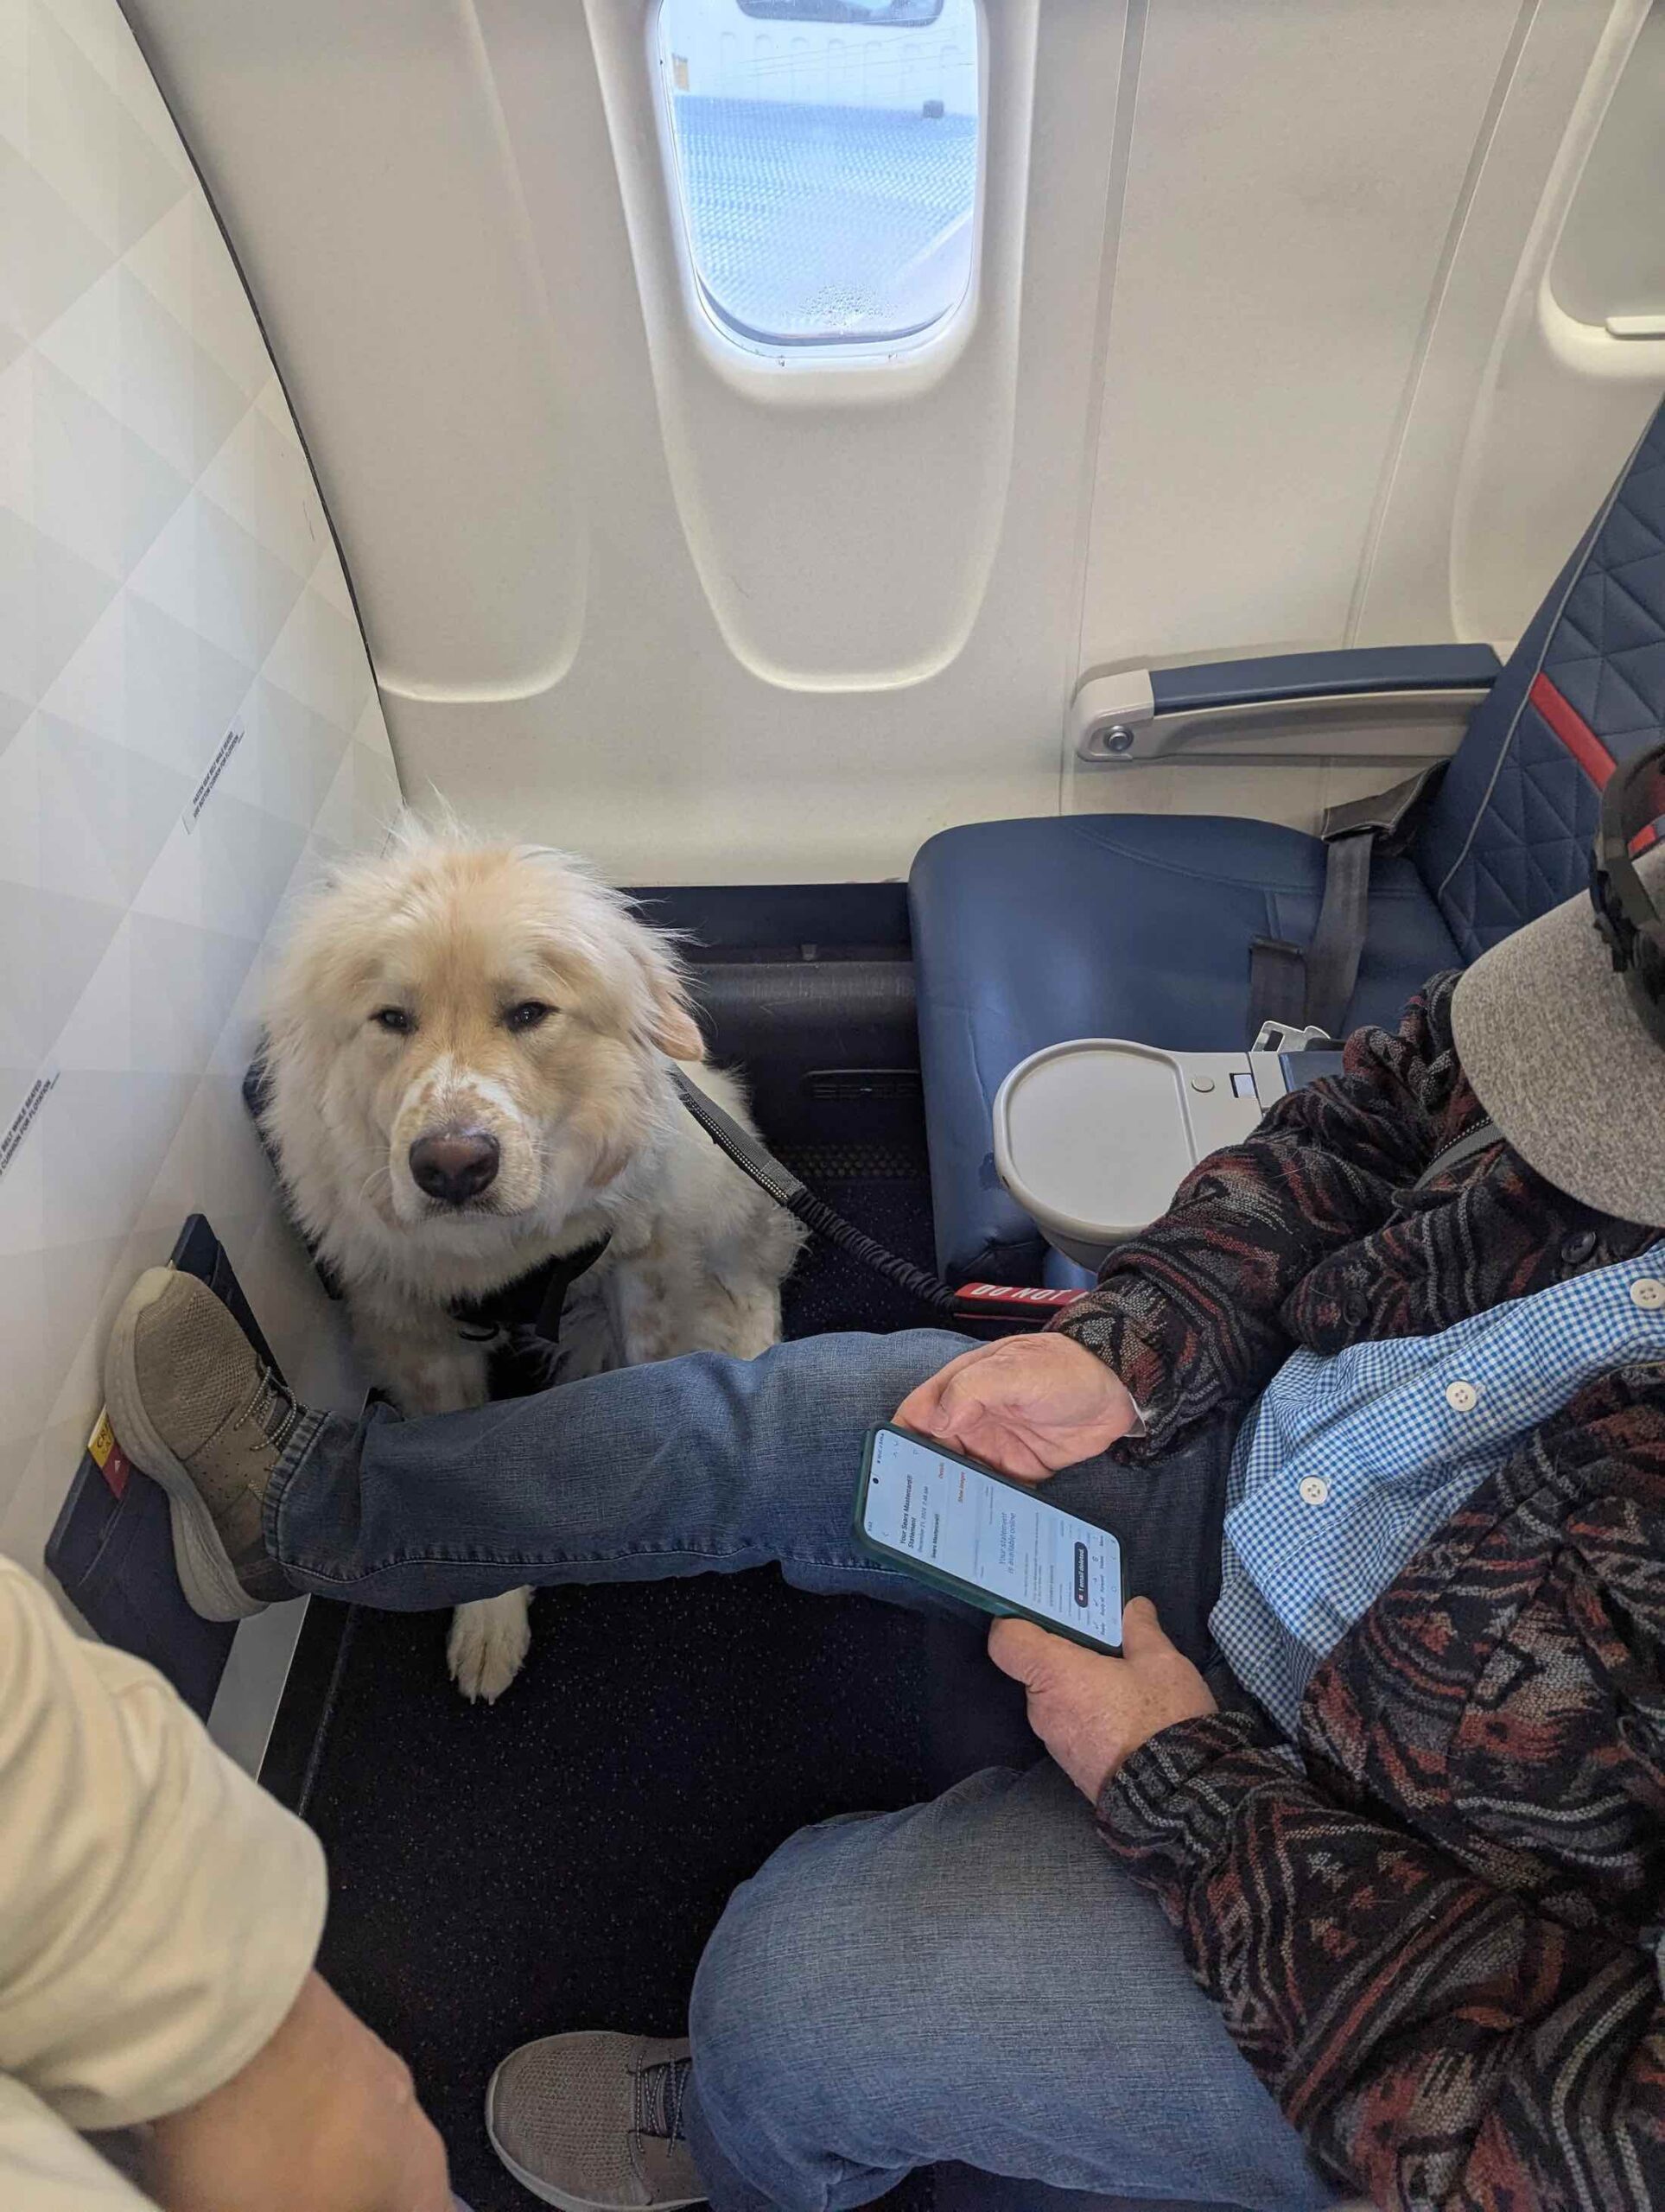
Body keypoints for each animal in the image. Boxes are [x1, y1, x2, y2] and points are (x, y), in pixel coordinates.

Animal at [260, 823, 804, 1699]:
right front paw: (490, 1621)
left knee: (752, 1288)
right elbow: (457, 1483)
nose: (451, 1166)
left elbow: (645, 1373)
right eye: (391, 1018)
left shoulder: (642, 1266)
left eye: (527, 1013)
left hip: (722, 1188)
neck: (501, 1253)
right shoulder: (413, 1328)